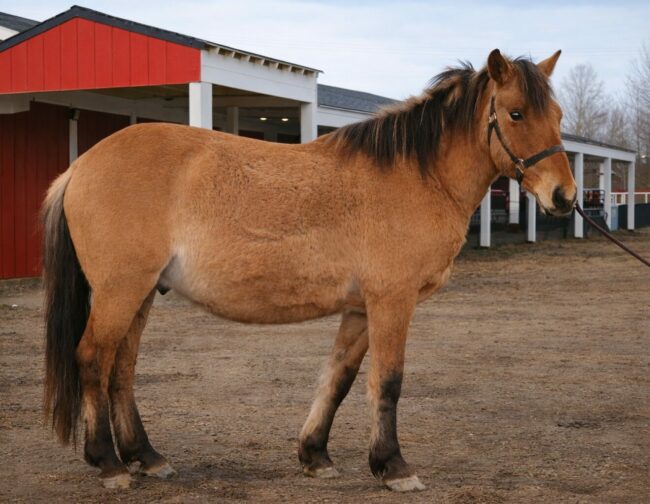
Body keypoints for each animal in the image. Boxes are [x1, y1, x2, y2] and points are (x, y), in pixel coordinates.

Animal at [41, 49, 576, 492]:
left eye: (557, 116)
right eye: (516, 113)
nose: (564, 197)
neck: (415, 175)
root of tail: (81, 166)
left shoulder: (360, 309)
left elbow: (337, 378)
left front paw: (315, 455)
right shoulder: (392, 301)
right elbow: (388, 382)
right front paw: (394, 467)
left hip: (143, 292)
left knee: (121, 368)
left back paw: (146, 457)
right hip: (121, 291)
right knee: (93, 359)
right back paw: (109, 464)